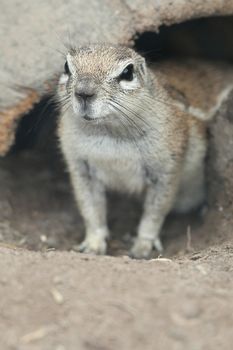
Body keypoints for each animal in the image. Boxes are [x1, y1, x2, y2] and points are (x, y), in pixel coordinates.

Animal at [57, 43, 233, 258]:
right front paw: (93, 243)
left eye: (127, 72)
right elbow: (90, 207)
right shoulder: (80, 167)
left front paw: (142, 246)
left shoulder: (165, 167)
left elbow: (155, 211)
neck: (109, 133)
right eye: (66, 67)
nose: (84, 92)